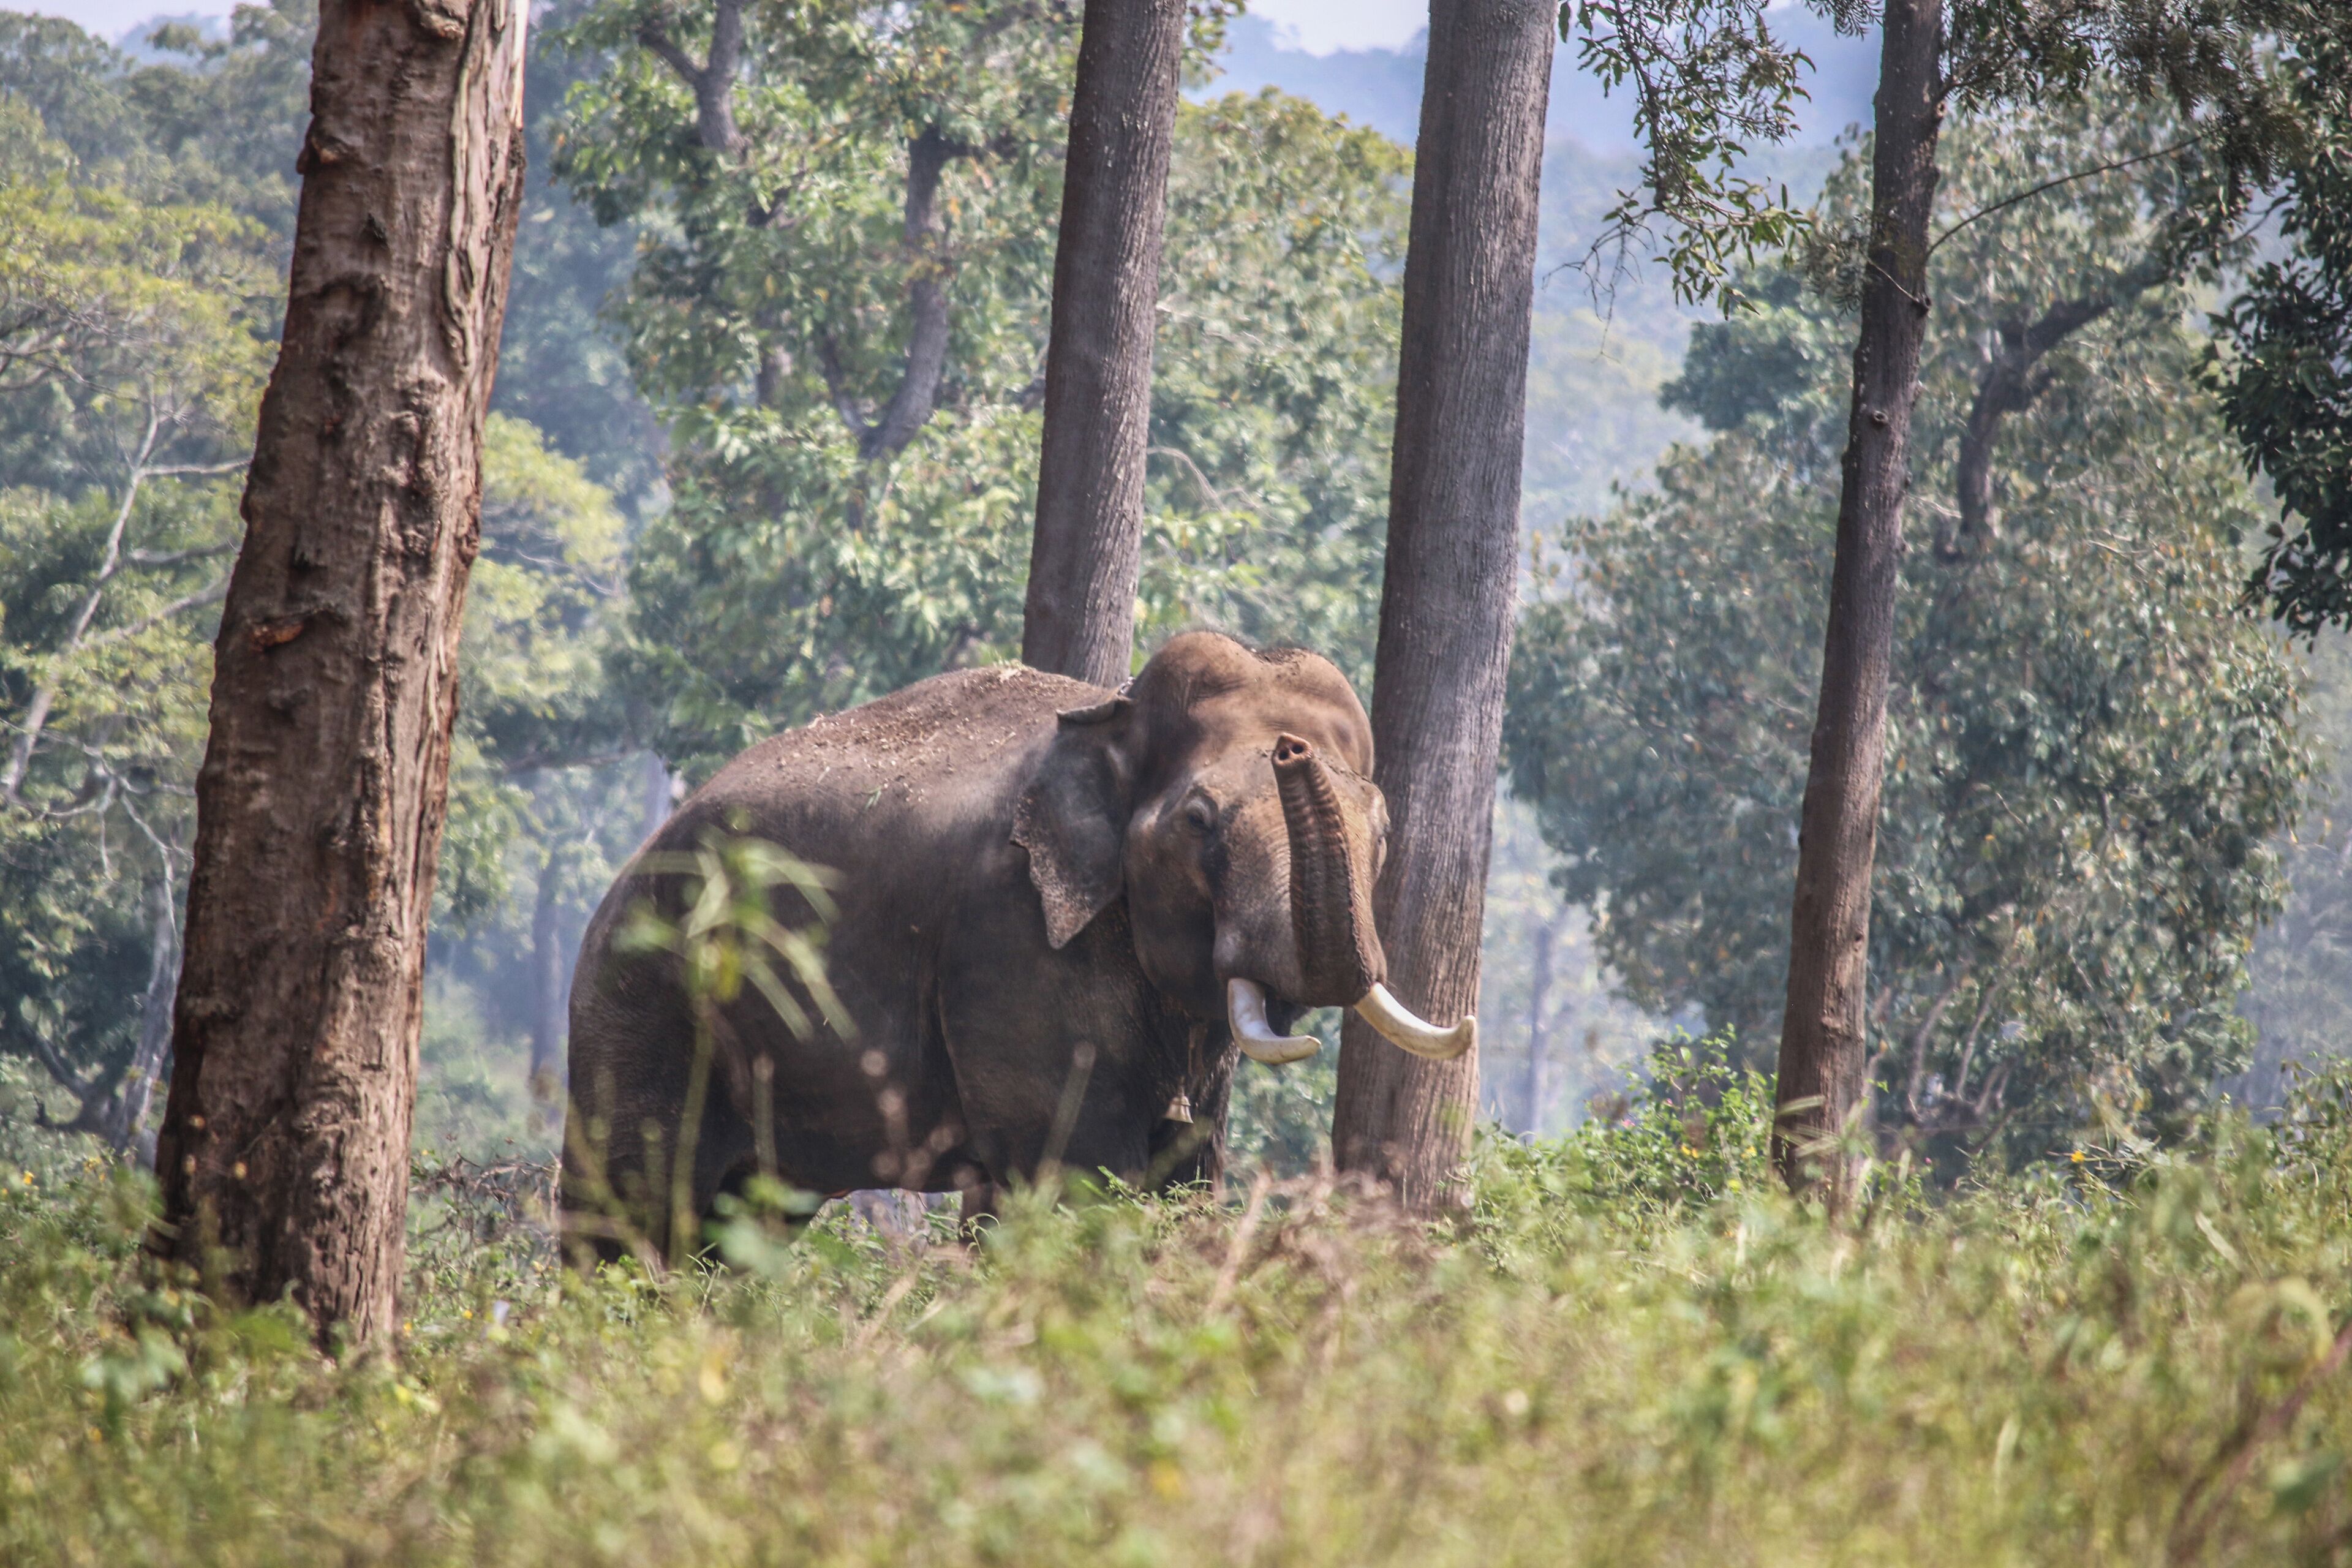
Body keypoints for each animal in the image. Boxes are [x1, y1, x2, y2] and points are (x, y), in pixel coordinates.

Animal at [558, 631, 1474, 1257]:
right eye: (1198, 821)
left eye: (1384, 829)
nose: (1290, 748)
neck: (1111, 710)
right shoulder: (1009, 939)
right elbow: (1078, 1173)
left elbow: (1187, 1168)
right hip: (641, 999)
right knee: (632, 1202)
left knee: (742, 1224)